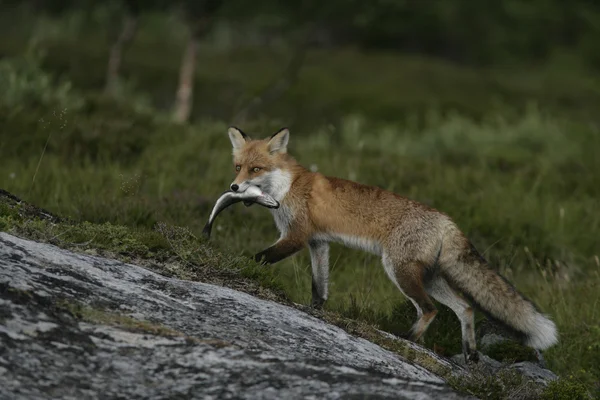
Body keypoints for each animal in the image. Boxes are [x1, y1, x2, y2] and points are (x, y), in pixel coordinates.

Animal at [226, 126, 556, 360]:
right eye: (238, 167)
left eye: (256, 169)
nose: (234, 187)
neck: (287, 186)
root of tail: (447, 220)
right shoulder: (318, 243)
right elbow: (319, 287)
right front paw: (315, 310)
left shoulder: (296, 237)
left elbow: (259, 258)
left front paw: (238, 267)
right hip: (430, 276)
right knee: (465, 308)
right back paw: (470, 353)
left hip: (399, 270)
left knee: (430, 310)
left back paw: (408, 340)